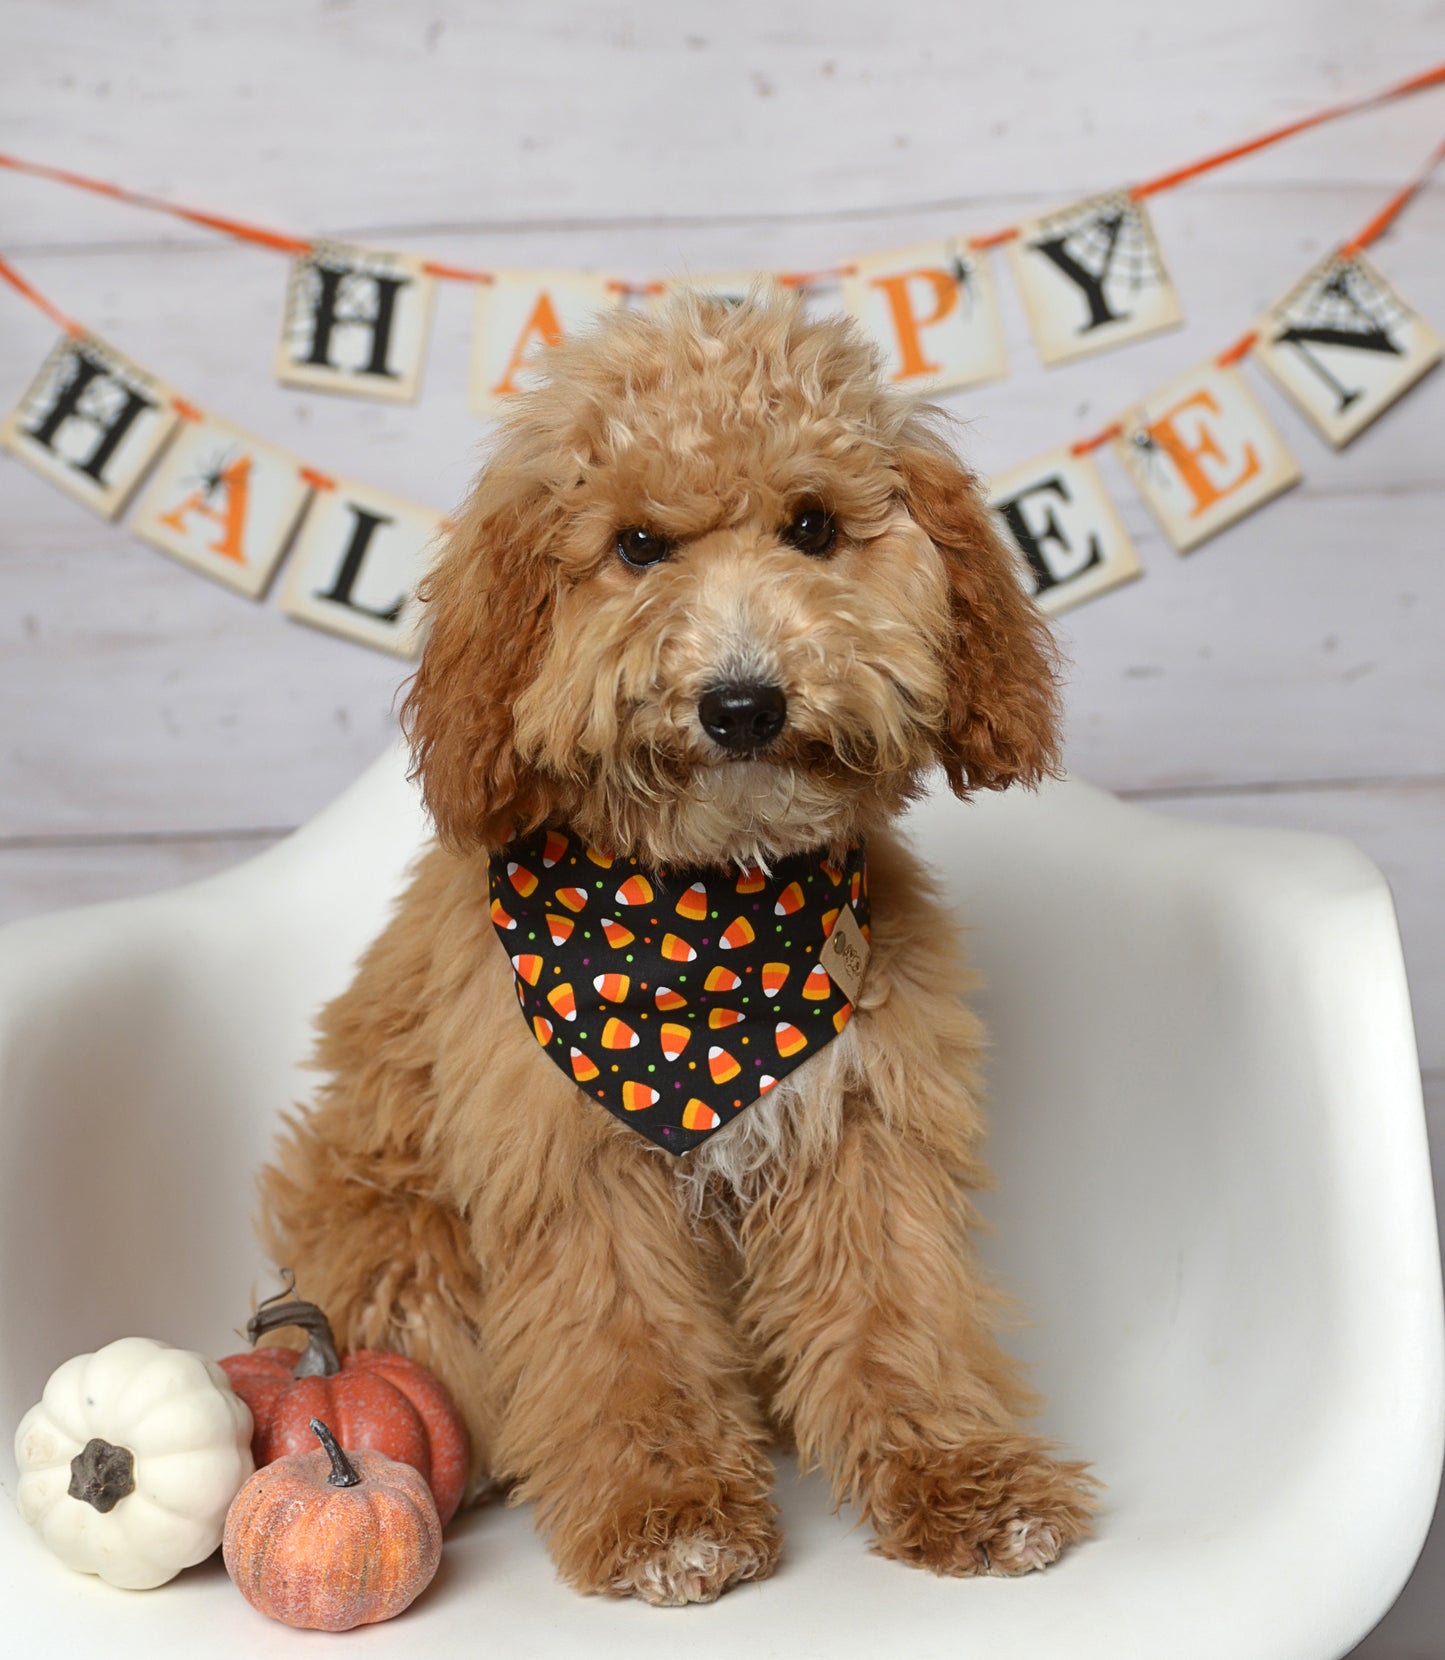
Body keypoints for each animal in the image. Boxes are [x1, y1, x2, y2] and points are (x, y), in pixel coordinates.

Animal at [260, 288, 1096, 1606]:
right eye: (638, 545)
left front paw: (959, 1479)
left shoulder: (864, 1136)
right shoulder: (574, 1168)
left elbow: (897, 1315)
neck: (710, 917)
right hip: (401, 1246)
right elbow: (624, 1345)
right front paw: (666, 1511)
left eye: (811, 526)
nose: (742, 704)